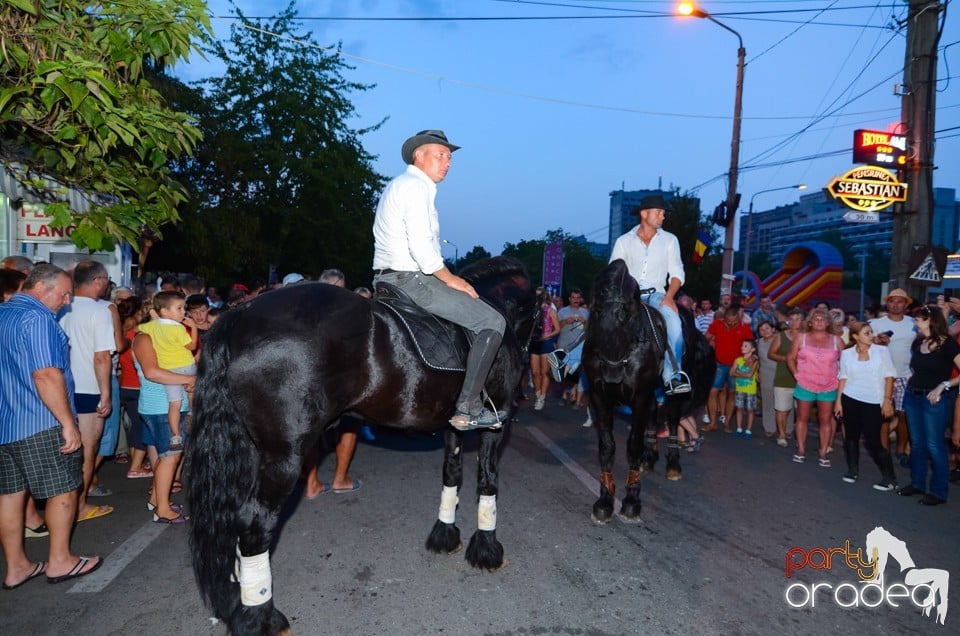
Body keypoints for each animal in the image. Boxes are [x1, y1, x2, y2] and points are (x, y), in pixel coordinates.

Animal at [184, 258, 536, 636]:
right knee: (254, 525)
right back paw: (260, 616)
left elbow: (452, 474)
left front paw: (445, 533)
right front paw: (487, 549)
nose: (529, 355)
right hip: (283, 457)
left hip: (249, 450)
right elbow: (488, 480)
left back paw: (239, 603)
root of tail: (240, 314)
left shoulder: (454, 426)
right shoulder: (496, 422)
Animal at [580, 258, 716, 520]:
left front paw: (632, 499)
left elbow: (633, 444)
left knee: (672, 420)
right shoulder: (600, 397)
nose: (611, 373)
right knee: (654, 414)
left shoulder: (639, 397)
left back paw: (672, 465)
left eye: (626, 314)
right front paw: (604, 500)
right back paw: (649, 457)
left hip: (673, 393)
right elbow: (607, 446)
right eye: (596, 311)